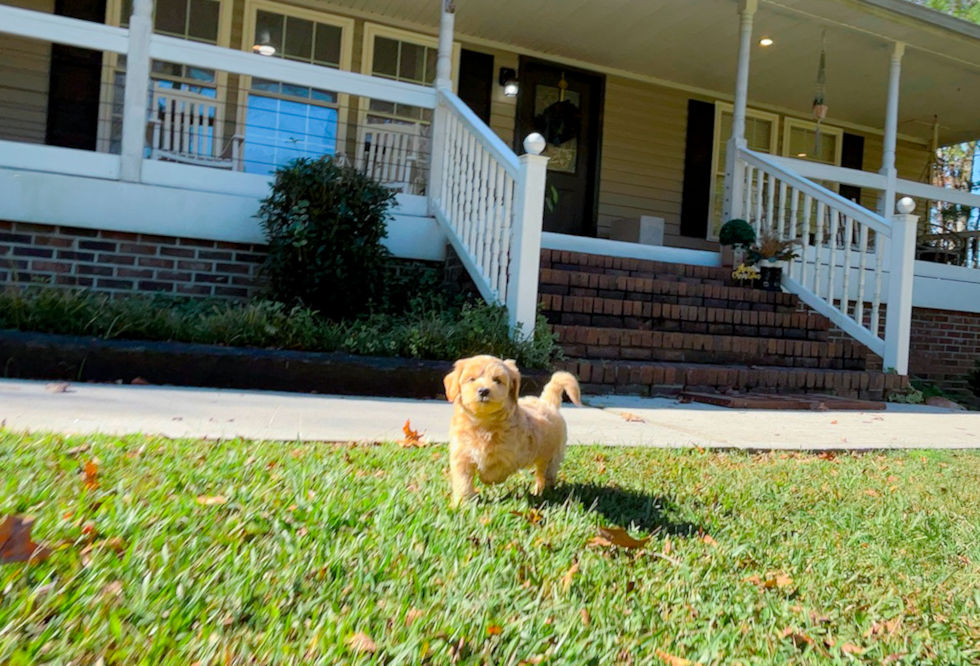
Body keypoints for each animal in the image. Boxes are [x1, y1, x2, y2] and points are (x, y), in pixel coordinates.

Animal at [444, 356, 580, 506]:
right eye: (471, 379)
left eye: (497, 380)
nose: (483, 391)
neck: (483, 423)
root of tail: (548, 403)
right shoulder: (462, 456)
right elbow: (463, 482)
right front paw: (463, 503)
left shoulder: (510, 456)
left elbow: (495, 472)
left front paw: (485, 478)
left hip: (551, 456)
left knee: (544, 475)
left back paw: (540, 491)